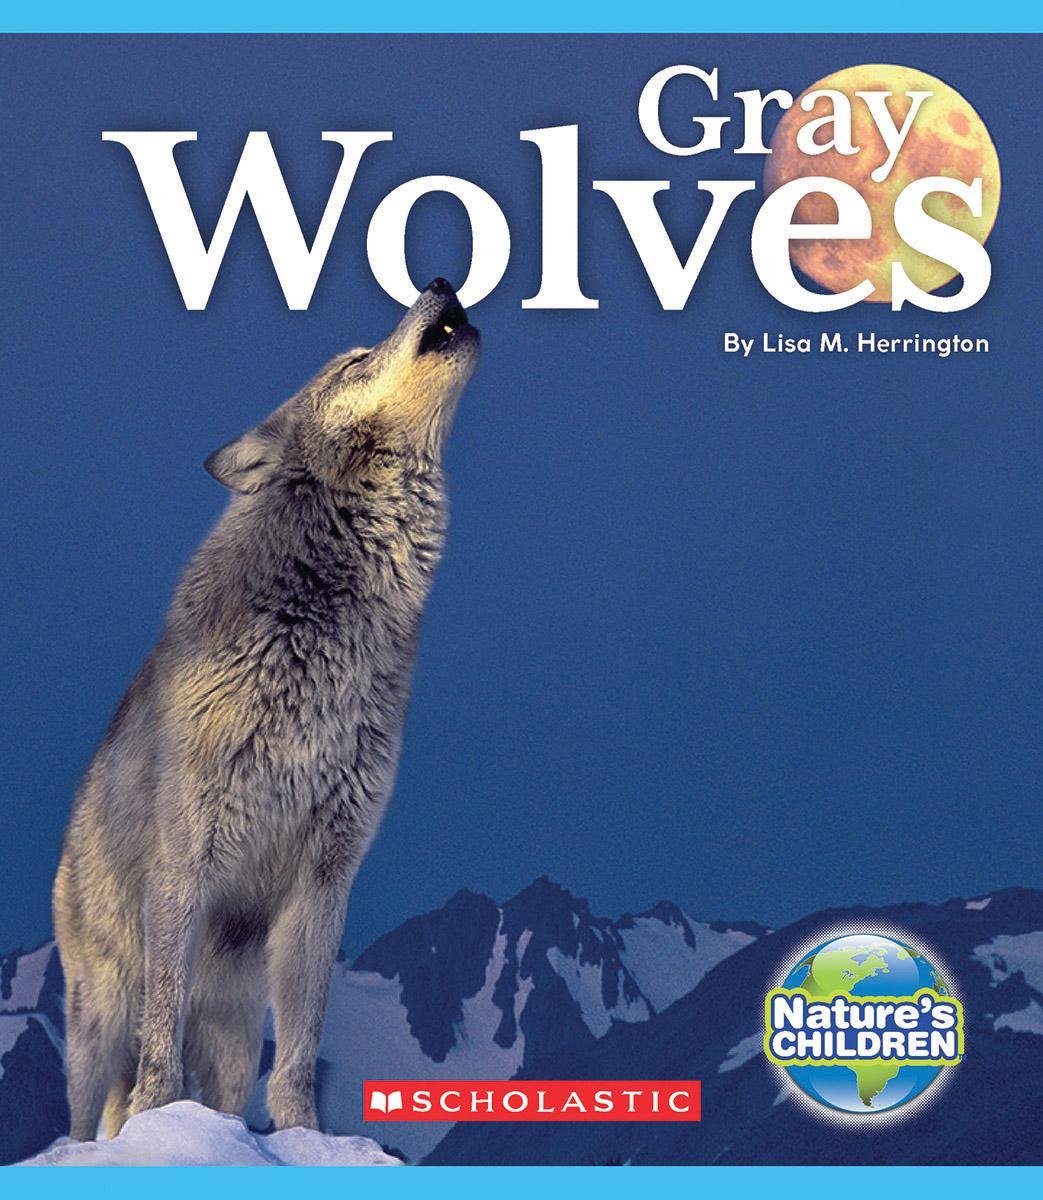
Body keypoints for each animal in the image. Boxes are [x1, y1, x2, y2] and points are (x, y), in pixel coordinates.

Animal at [53, 279, 479, 1140]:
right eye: (354, 359)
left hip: (235, 1031)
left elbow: (304, 1043)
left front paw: (302, 1137)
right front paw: (161, 1118)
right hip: (97, 1026)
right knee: (88, 1113)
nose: (441, 284)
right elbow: (161, 1038)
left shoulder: (326, 876)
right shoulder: (185, 865)